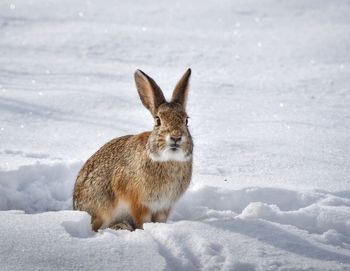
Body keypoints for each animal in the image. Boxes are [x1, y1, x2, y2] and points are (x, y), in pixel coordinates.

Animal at [73, 69, 193, 233]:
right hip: (102, 208)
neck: (168, 159)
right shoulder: (138, 203)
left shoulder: (164, 207)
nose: (176, 137)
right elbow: (142, 221)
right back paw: (120, 226)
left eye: (186, 120)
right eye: (158, 121)